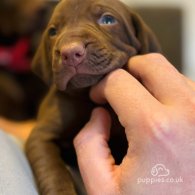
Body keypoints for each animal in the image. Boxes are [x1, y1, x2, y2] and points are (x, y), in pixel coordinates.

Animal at [25, 0, 160, 193]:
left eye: (108, 20)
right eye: (52, 32)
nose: (70, 53)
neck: (87, 95)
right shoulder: (41, 137)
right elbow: (52, 171)